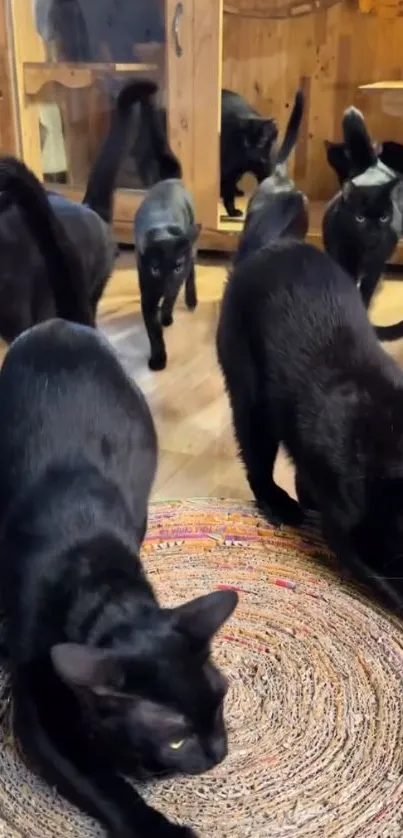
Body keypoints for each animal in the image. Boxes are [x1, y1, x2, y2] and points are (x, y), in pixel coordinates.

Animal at [0, 316, 238, 838]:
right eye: (176, 739)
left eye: (221, 700)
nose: (218, 754)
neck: (103, 589)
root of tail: (60, 325)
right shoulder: (37, 715)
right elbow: (103, 785)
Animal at [218, 236, 403, 616]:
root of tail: (274, 246)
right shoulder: (349, 533)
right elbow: (391, 586)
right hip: (253, 401)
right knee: (257, 464)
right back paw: (282, 505)